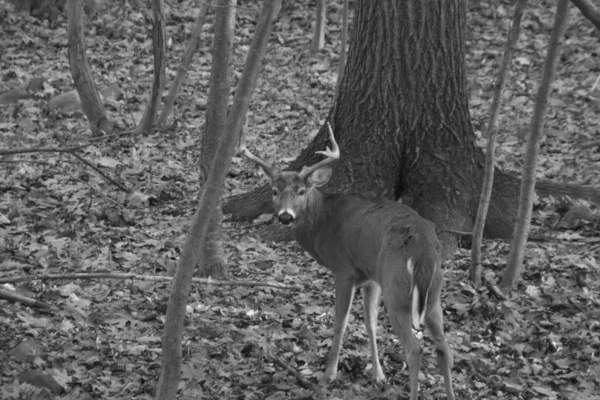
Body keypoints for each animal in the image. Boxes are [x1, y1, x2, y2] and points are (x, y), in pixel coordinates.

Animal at [239, 122, 454, 400]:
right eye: (275, 191)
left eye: (301, 191)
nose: (286, 217)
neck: (323, 222)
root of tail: (423, 250)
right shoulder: (371, 277)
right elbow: (370, 324)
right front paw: (378, 376)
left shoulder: (343, 270)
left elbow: (340, 322)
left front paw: (328, 375)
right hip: (433, 292)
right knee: (444, 348)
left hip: (396, 289)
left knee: (415, 349)